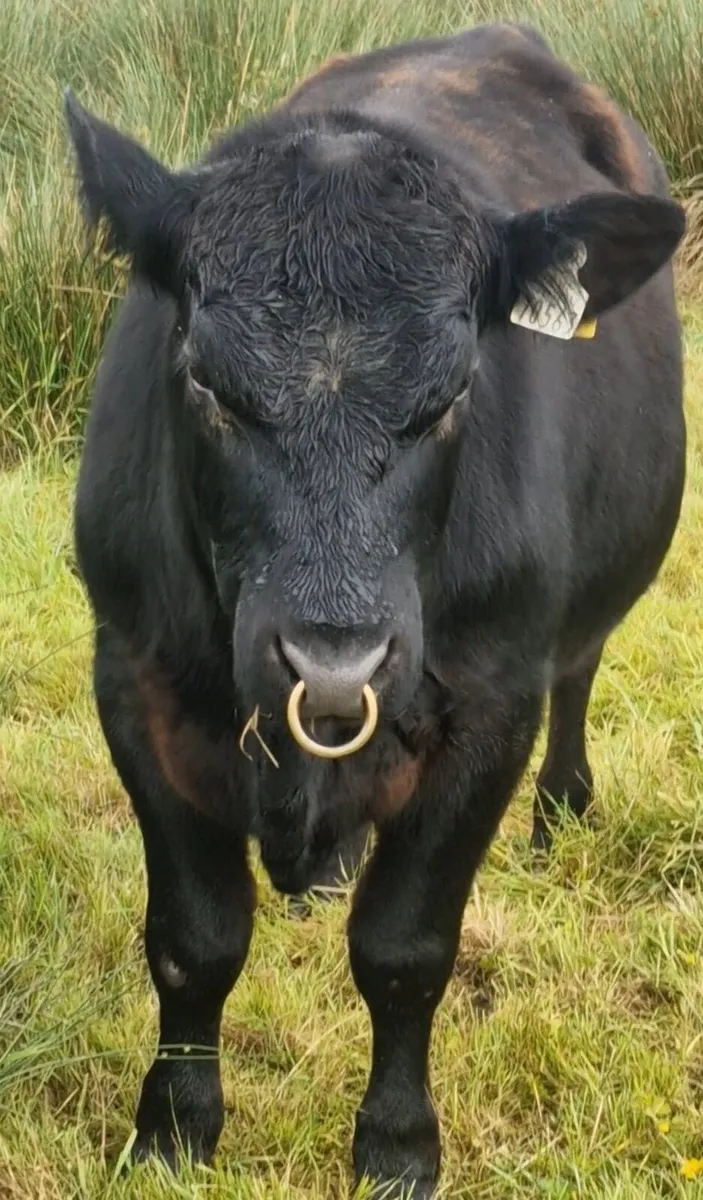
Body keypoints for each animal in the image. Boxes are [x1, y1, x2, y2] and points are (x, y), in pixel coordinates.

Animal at [63, 21, 686, 1198]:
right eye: (206, 384)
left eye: (452, 395)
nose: (333, 665)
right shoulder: (132, 675)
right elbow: (194, 938)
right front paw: (171, 1131)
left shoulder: (488, 704)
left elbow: (403, 950)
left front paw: (396, 1146)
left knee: (581, 666)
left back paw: (561, 810)